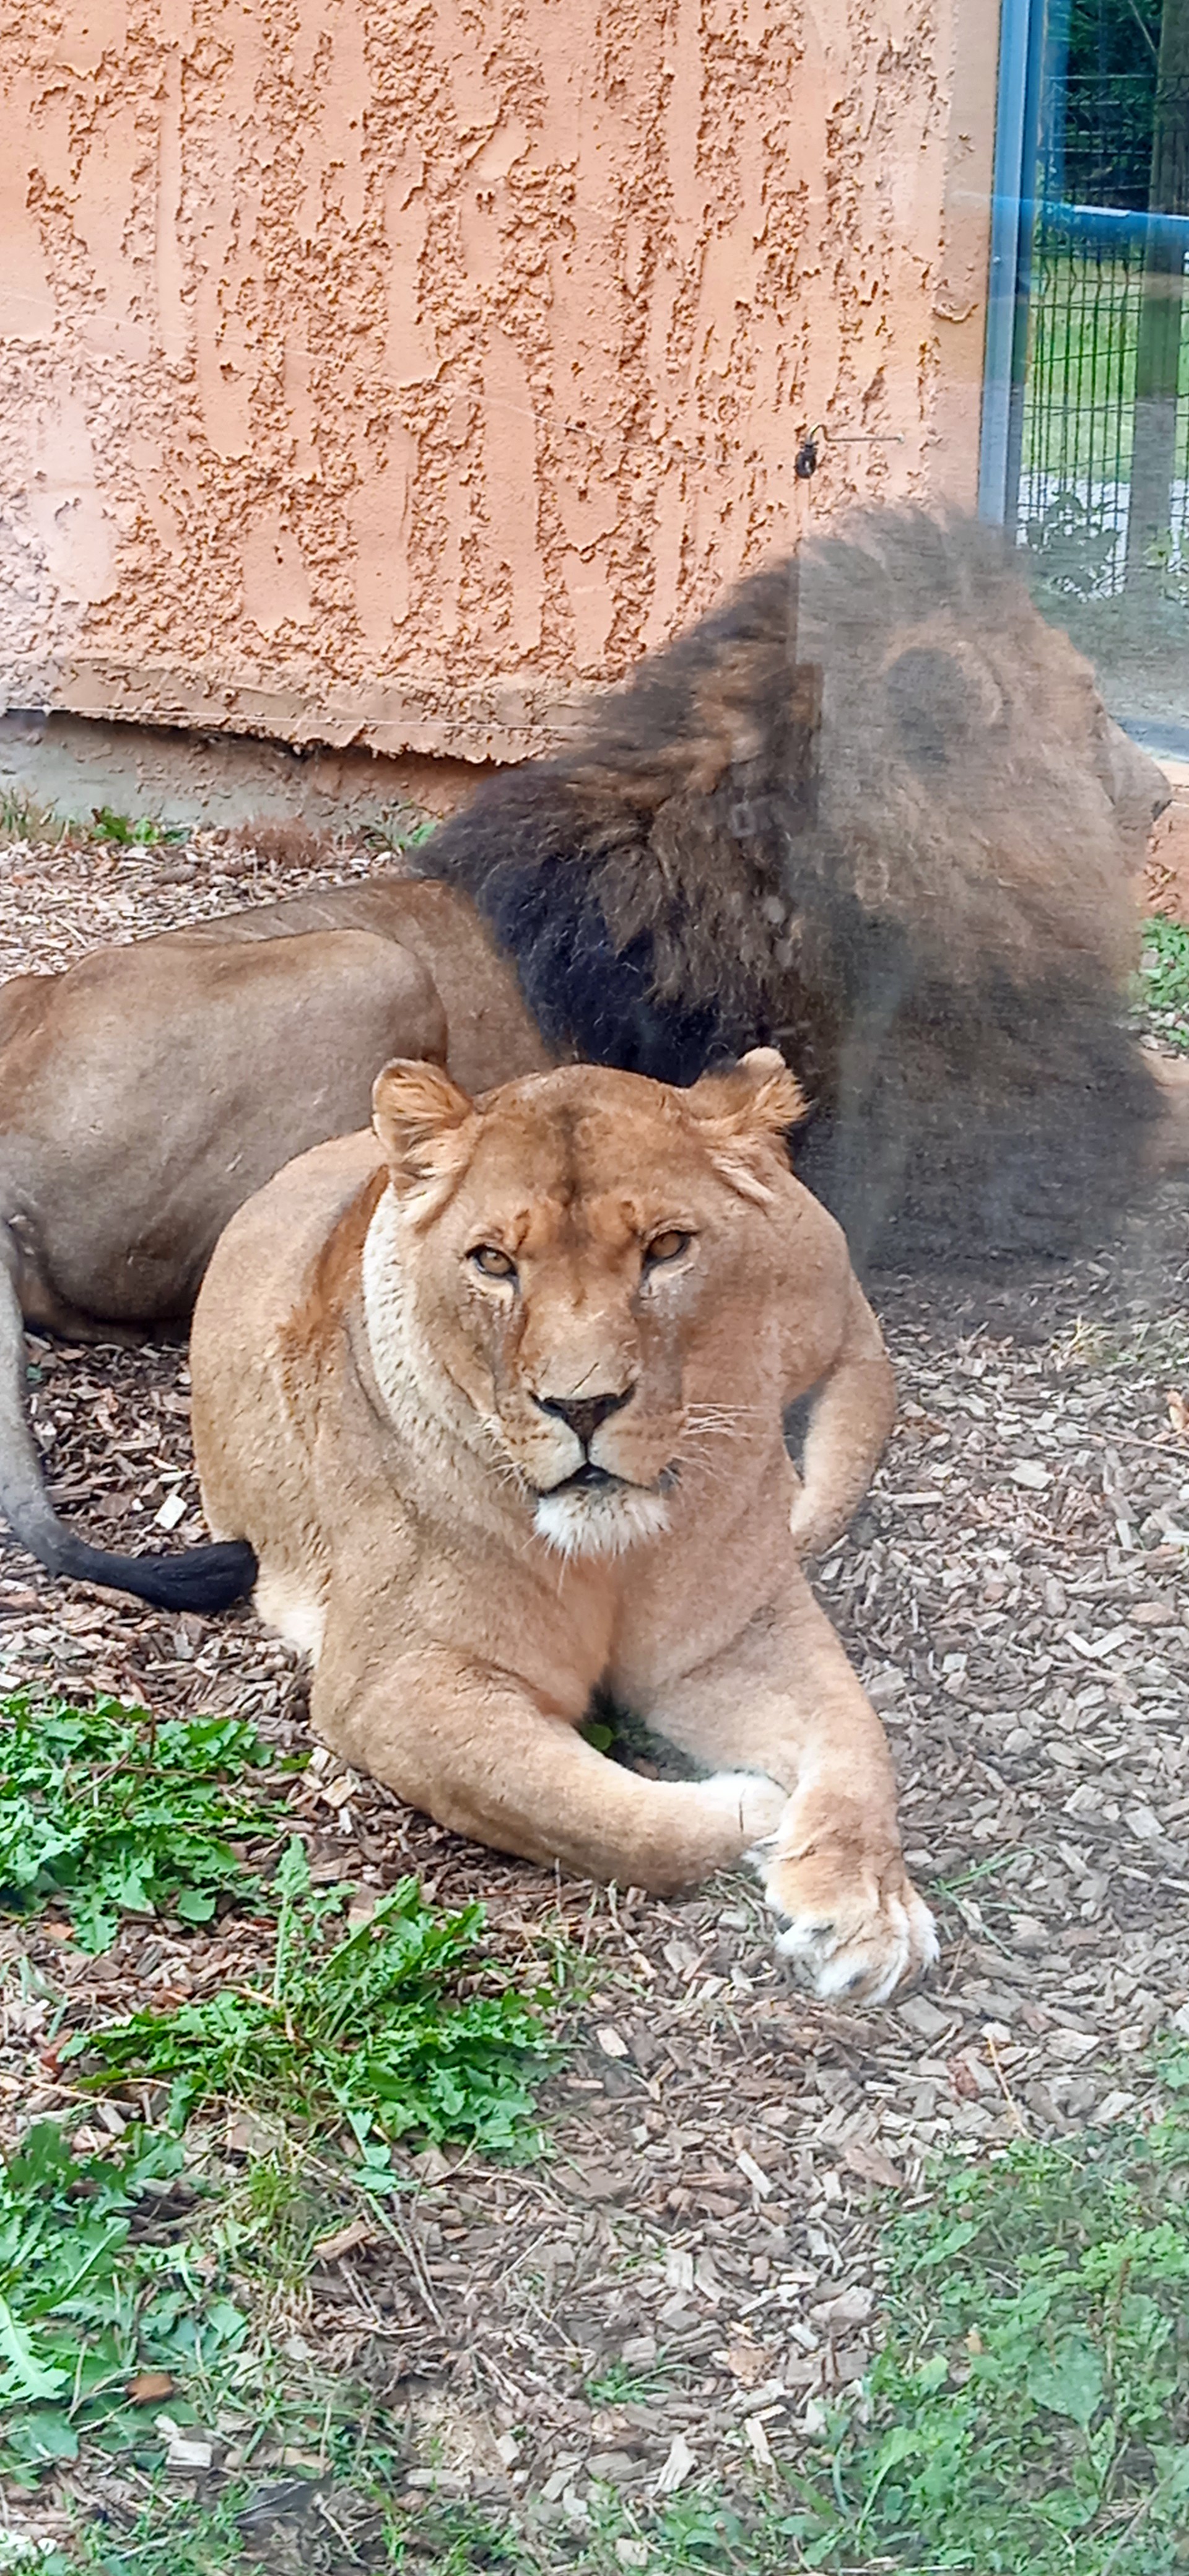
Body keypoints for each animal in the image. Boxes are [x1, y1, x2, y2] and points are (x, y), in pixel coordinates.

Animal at [187, 1049, 933, 2002]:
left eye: (667, 1248)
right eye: (494, 1262)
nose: (583, 1405)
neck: (614, 1556)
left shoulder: (733, 1635)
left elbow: (857, 1737)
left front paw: (867, 1908)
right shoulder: (396, 1683)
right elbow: (583, 1811)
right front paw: (755, 1805)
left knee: (859, 1349)